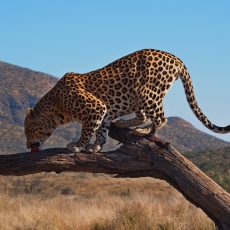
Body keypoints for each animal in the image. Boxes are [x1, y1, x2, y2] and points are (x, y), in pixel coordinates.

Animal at [23, 48, 230, 153]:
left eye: (28, 130)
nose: (27, 145)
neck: (56, 108)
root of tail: (176, 58)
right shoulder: (103, 112)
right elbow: (101, 129)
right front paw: (97, 145)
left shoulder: (95, 108)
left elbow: (87, 130)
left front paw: (78, 145)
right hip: (137, 97)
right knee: (143, 115)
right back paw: (124, 123)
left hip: (146, 93)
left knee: (161, 118)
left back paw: (143, 131)